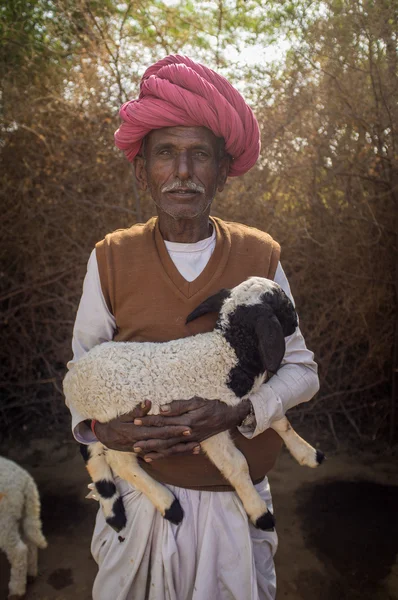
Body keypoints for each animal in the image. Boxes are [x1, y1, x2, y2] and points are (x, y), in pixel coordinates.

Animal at [0, 458, 47, 596]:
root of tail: (25, 478)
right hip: (22, 511)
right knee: (30, 543)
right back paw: (31, 574)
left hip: (5, 517)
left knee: (18, 551)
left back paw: (16, 590)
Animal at [63, 276, 324, 536]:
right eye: (283, 304)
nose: (296, 323)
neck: (231, 352)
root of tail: (72, 380)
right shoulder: (209, 428)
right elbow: (237, 465)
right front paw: (261, 515)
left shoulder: (247, 400)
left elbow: (278, 419)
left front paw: (310, 455)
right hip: (119, 422)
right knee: (121, 463)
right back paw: (169, 506)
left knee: (92, 451)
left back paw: (114, 512)